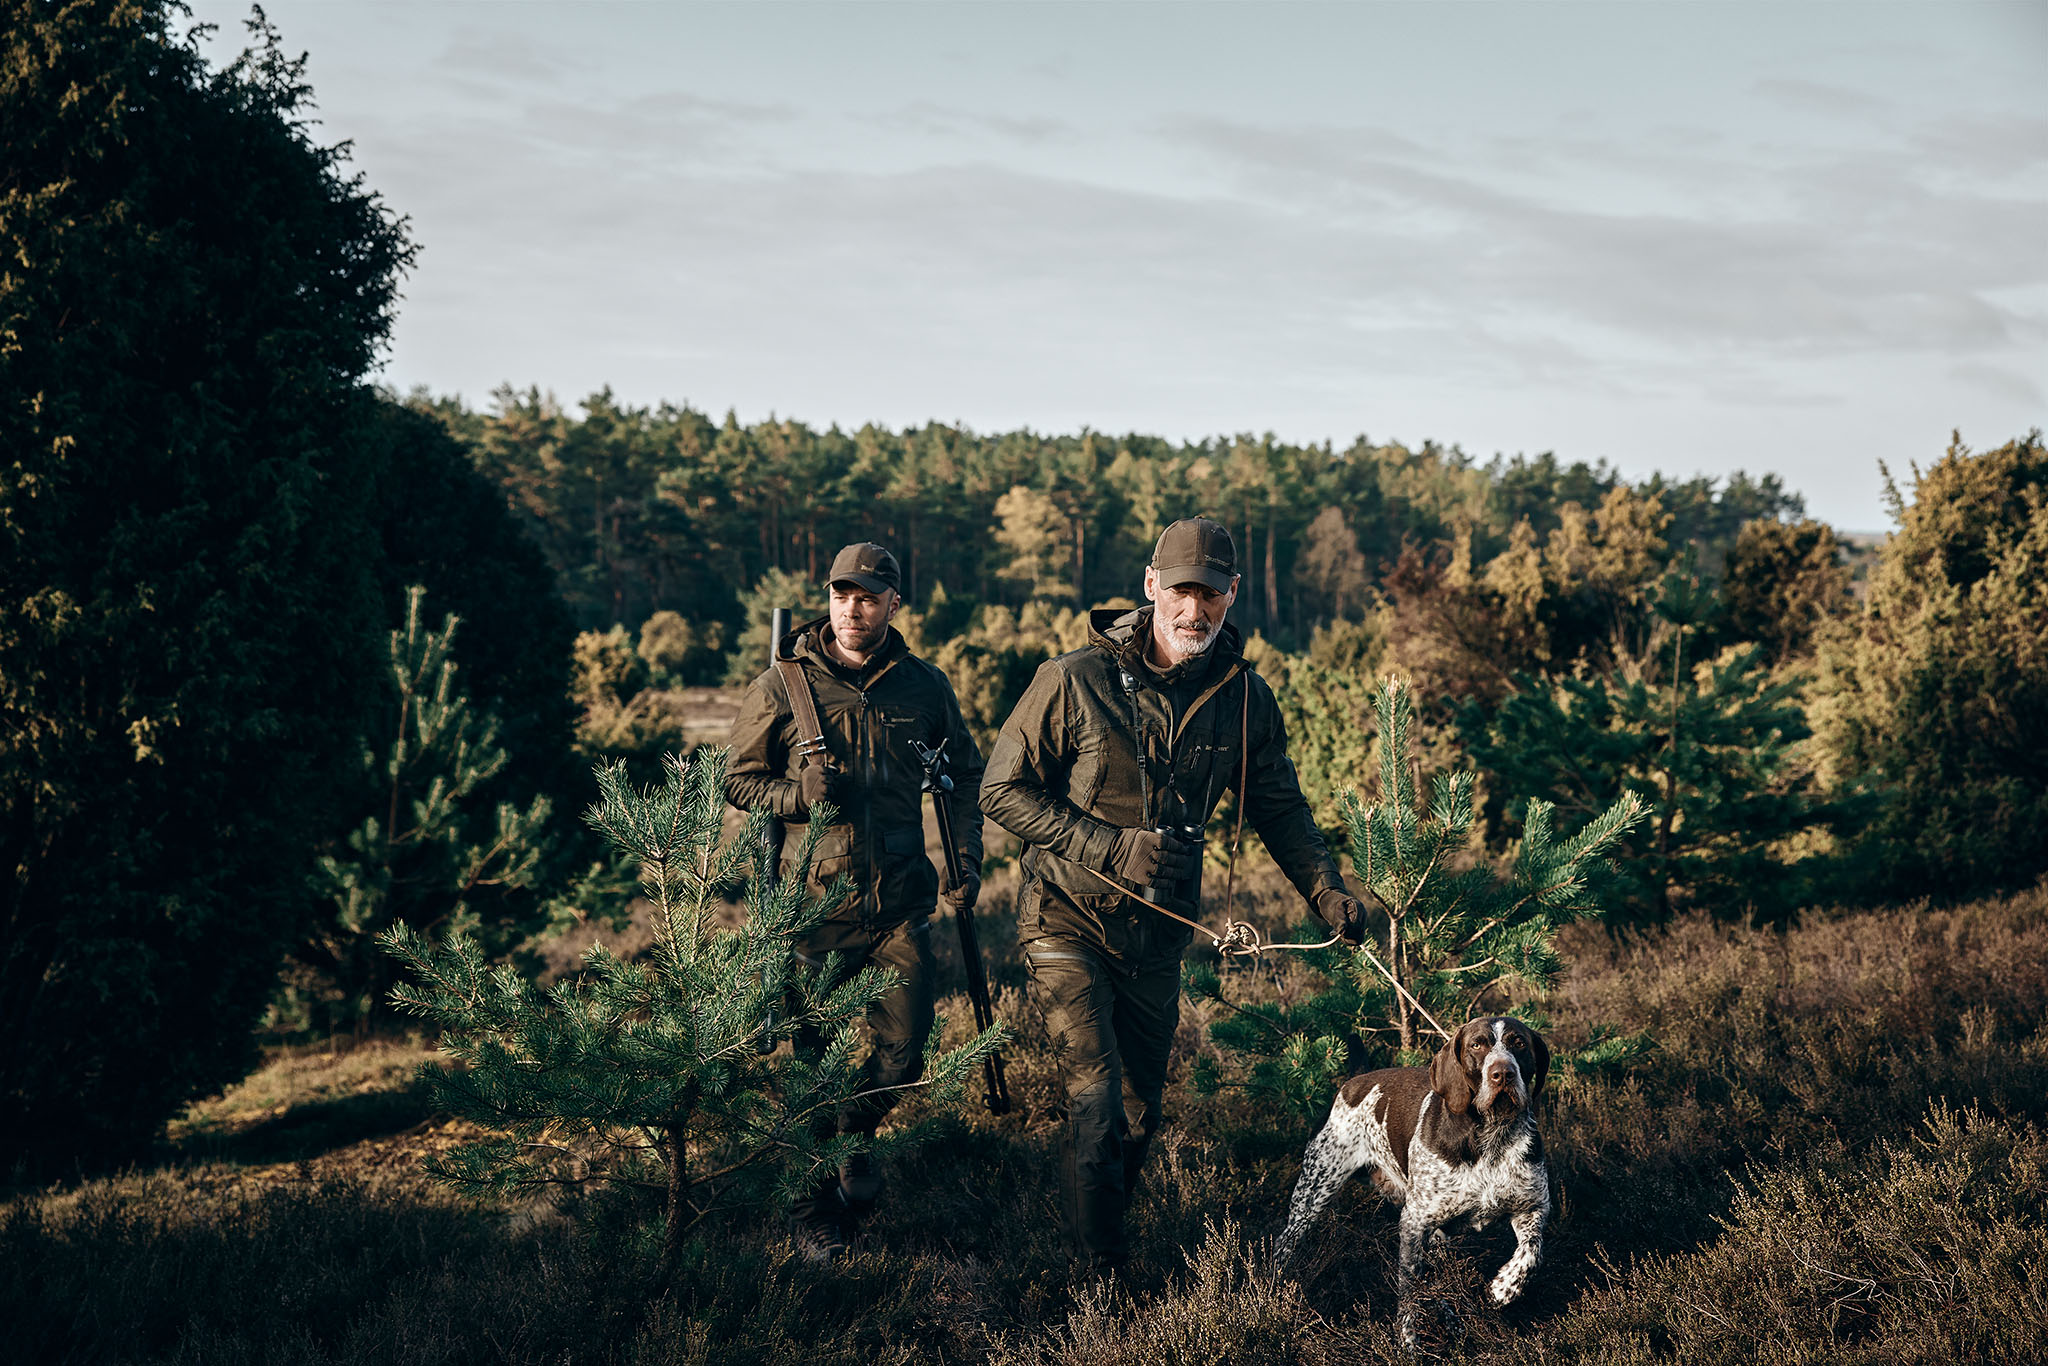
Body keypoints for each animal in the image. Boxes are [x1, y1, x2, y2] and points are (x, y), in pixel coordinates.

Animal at [1269, 1019, 1540, 1327]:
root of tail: (1356, 1079)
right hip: (1313, 1193)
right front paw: (1409, 1339)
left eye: (1519, 1042)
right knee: (1284, 1243)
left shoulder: (1531, 1208)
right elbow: (1409, 1294)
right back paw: (1276, 1292)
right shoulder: (1413, 1223)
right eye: (1476, 1044)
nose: (1502, 1073)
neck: (1492, 1135)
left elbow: (1531, 1253)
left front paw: (1505, 1287)